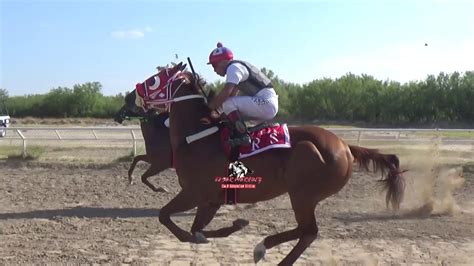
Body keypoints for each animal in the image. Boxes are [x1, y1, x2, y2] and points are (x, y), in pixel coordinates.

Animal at [127, 63, 408, 264]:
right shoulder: (211, 200)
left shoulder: (194, 192)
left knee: (308, 231)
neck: (198, 135)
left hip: (302, 193)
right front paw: (234, 225)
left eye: (155, 79)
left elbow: (166, 217)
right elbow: (198, 228)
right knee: (306, 232)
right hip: (306, 196)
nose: (131, 94)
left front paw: (199, 235)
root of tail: (346, 146)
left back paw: (263, 248)